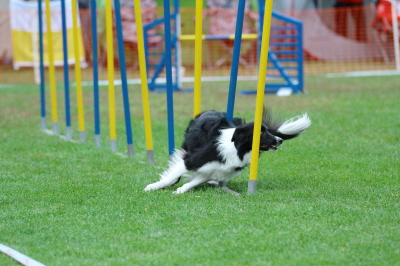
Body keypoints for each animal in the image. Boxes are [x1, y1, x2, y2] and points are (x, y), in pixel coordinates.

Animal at [145, 109, 310, 194]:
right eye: (261, 133)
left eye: (268, 131)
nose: (279, 140)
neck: (236, 148)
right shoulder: (192, 160)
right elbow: (172, 176)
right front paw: (152, 187)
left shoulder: (213, 170)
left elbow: (195, 181)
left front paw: (181, 190)